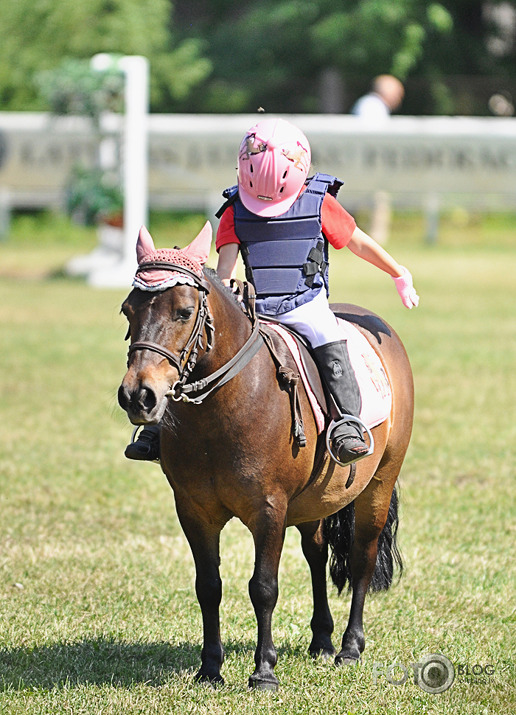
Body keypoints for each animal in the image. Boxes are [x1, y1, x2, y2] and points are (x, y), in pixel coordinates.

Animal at [119, 222, 414, 688]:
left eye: (183, 312)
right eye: (128, 311)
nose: (138, 395)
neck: (220, 412)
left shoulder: (268, 509)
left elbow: (263, 587)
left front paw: (264, 671)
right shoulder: (194, 510)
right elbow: (209, 587)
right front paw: (210, 668)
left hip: (378, 486)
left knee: (362, 559)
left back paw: (349, 648)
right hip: (315, 501)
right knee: (316, 553)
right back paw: (321, 640)